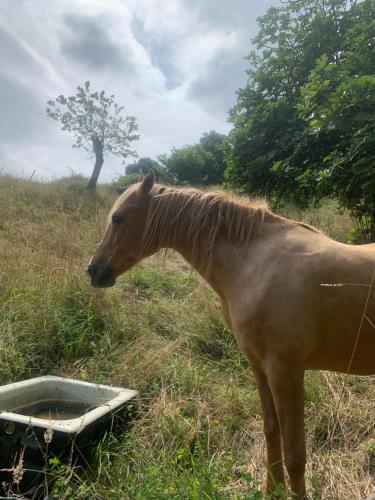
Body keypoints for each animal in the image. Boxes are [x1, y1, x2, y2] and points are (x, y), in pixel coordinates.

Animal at [88, 171, 375, 496]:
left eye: (118, 218)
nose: (92, 269)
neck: (253, 265)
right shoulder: (260, 367)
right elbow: (271, 431)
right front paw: (271, 492)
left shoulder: (286, 372)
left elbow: (295, 454)